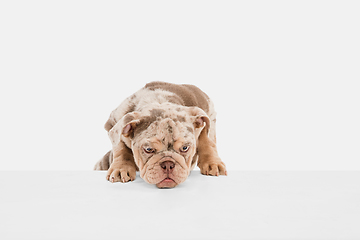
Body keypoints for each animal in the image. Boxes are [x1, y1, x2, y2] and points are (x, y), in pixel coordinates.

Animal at [94, 81, 226, 188]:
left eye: (185, 148)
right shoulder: (114, 121)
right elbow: (120, 147)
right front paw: (121, 168)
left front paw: (212, 163)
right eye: (148, 149)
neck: (159, 100)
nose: (168, 164)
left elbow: (207, 141)